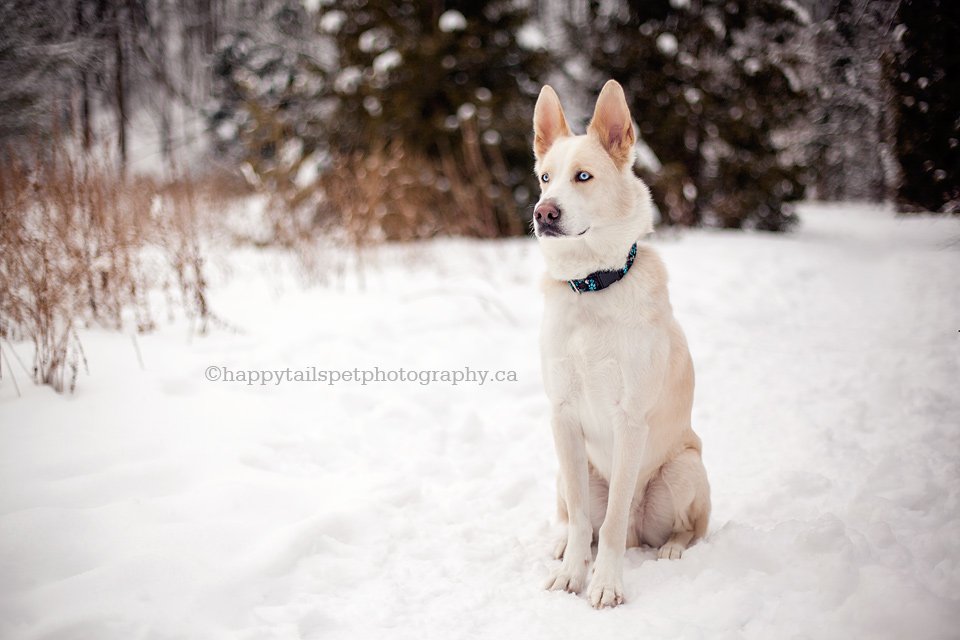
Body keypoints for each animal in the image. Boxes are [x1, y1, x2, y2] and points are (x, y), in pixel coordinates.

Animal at [532, 81, 712, 608]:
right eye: (545, 178)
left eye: (583, 176)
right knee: (573, 517)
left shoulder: (629, 419)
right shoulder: (562, 416)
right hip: (564, 470)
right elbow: (583, 522)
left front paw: (606, 583)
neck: (592, 286)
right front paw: (571, 574)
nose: (544, 212)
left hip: (683, 469)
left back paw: (671, 549)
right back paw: (559, 544)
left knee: (678, 527)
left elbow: (609, 526)